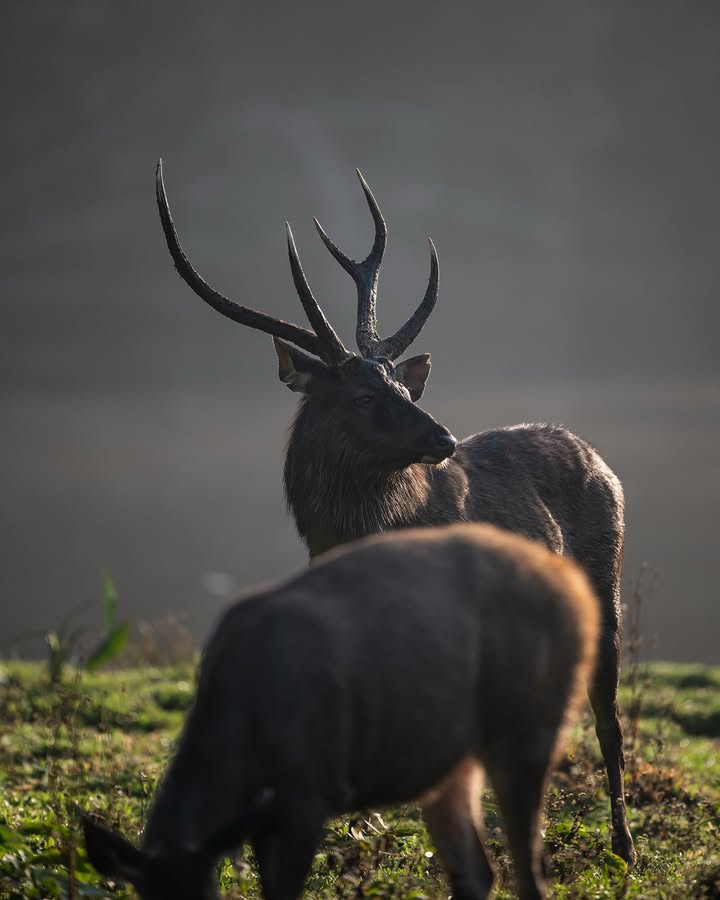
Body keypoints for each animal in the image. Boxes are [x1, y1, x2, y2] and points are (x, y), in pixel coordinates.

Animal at [83, 520, 600, 900]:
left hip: (531, 722)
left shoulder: (310, 789)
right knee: (478, 871)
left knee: (530, 868)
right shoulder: (265, 815)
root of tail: (577, 591)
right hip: (451, 764)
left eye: (205, 896)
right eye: (145, 896)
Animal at [155, 162, 632, 864]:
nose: (444, 438)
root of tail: (601, 460)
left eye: (403, 385)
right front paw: (364, 823)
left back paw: (623, 843)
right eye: (360, 395)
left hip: (606, 583)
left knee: (608, 714)